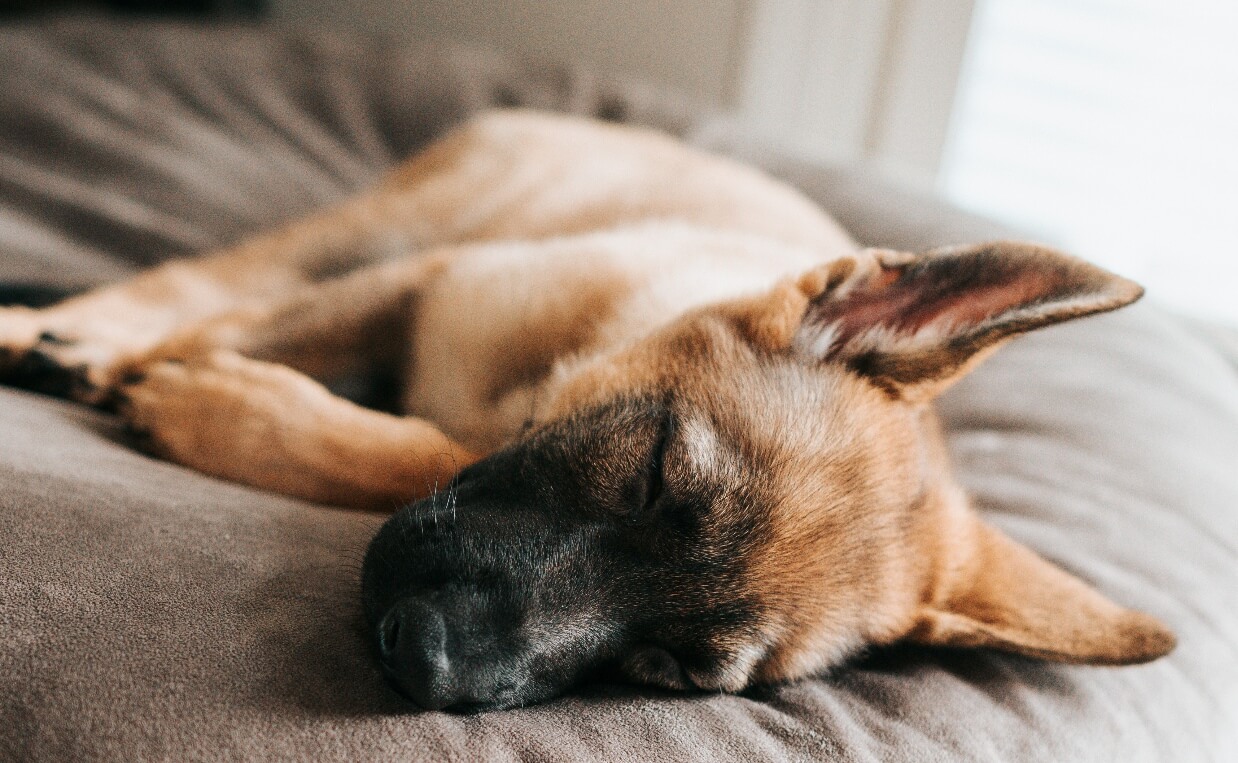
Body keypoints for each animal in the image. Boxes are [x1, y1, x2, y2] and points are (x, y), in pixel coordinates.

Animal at [0, 111, 1173, 708]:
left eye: (674, 672)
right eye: (652, 470)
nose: (422, 660)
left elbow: (412, 453)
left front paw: (221, 404)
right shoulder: (425, 281)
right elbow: (266, 341)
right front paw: (167, 371)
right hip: (399, 221)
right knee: (210, 275)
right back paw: (66, 331)